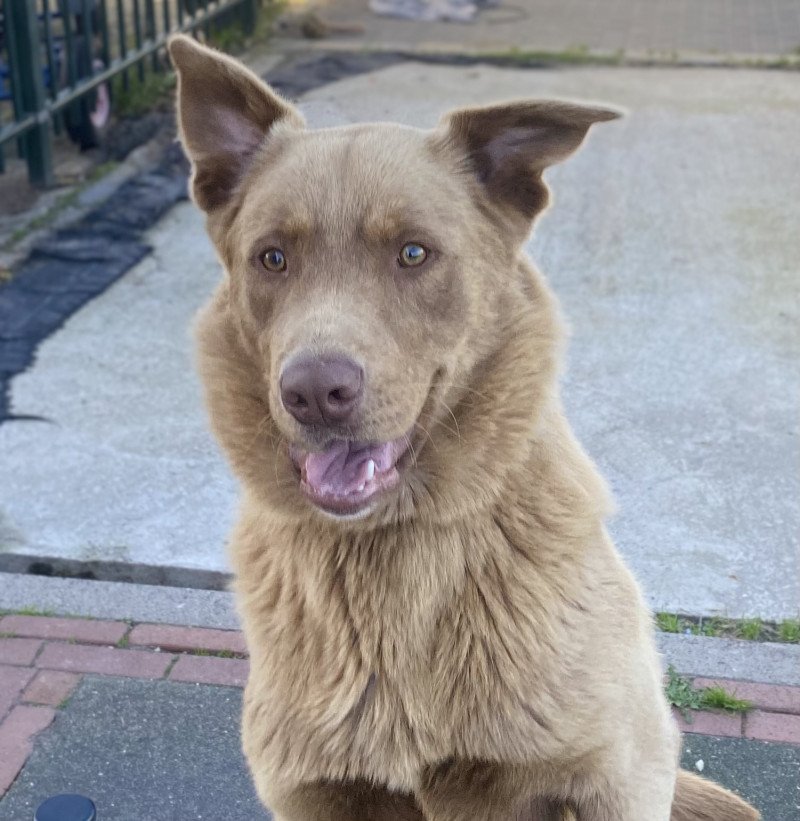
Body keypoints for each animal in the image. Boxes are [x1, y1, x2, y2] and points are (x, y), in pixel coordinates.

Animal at [167, 33, 756, 820]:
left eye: (414, 252)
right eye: (272, 257)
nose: (314, 392)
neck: (390, 552)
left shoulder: (618, 773)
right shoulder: (319, 790)